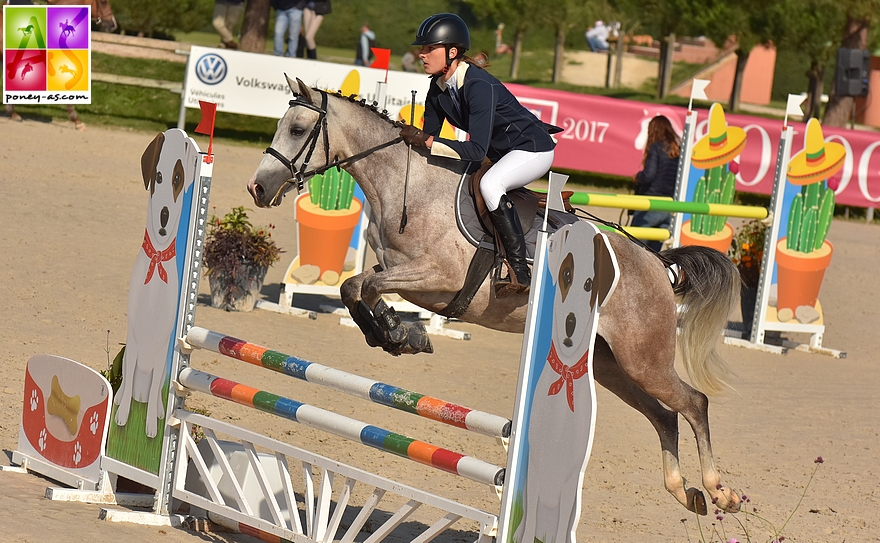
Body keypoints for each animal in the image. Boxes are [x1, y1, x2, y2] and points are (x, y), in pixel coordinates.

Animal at [246, 76, 744, 516]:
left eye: (296, 129)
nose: (258, 188)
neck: (405, 186)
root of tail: (658, 265)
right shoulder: (395, 272)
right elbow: (354, 287)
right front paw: (393, 335)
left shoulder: (437, 277)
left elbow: (366, 288)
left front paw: (400, 335)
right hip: (611, 365)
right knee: (664, 416)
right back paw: (685, 493)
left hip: (643, 359)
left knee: (693, 403)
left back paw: (721, 492)